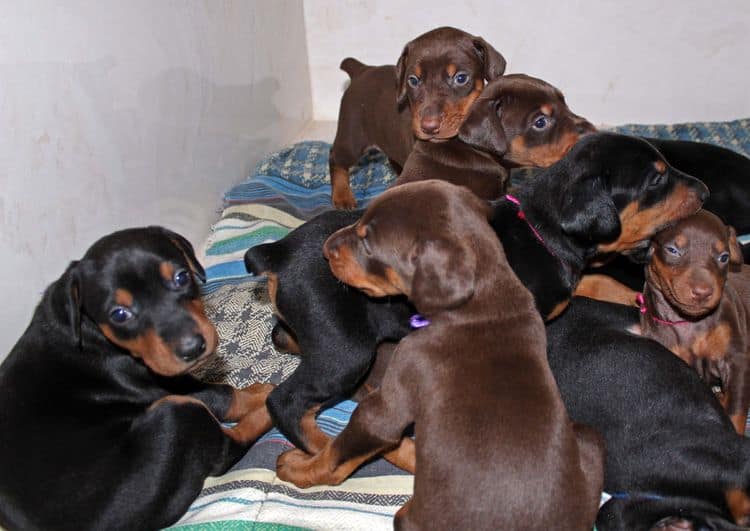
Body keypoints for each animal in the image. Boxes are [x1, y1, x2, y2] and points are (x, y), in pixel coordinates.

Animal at [0, 228, 274, 531]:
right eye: (119, 314)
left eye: (181, 277)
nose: (192, 348)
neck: (87, 327)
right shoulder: (161, 384)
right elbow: (220, 394)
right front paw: (258, 393)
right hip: (177, 417)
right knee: (225, 450)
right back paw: (268, 408)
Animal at [274, 181, 604, 528]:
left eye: (367, 241)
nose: (326, 249)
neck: (487, 303)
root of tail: (279, 251)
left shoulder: (390, 399)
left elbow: (338, 459)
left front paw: (298, 469)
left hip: (348, 355)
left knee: (285, 399)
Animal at [328, 25, 506, 208]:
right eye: (413, 80)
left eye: (461, 78)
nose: (429, 127)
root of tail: (362, 70)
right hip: (352, 138)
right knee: (335, 157)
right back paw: (342, 195)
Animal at [640, 210, 750, 434]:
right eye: (673, 250)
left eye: (724, 257)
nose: (702, 292)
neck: (690, 322)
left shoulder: (736, 360)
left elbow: (735, 411)